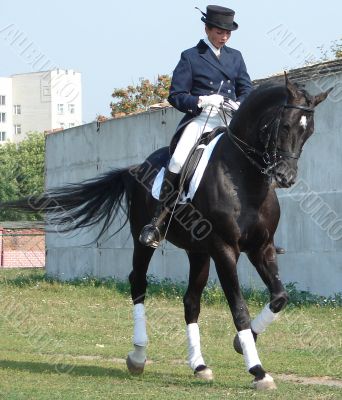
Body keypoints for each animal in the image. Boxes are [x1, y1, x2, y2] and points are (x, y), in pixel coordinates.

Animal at [2, 76, 332, 390]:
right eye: (286, 125)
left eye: (309, 131)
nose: (285, 177)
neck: (243, 178)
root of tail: (136, 168)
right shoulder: (226, 250)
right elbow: (239, 308)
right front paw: (257, 370)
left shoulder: (261, 247)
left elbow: (279, 297)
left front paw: (242, 343)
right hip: (145, 241)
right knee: (138, 284)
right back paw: (138, 356)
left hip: (198, 252)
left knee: (191, 302)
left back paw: (199, 365)